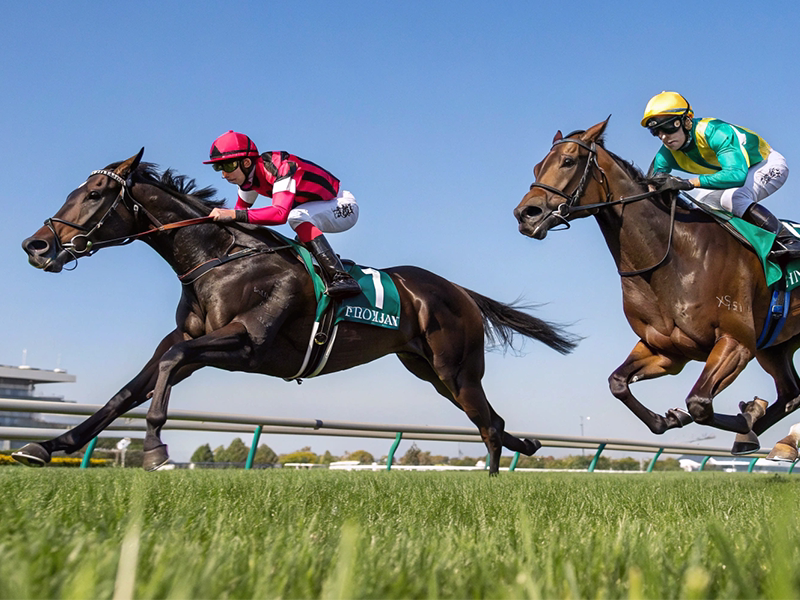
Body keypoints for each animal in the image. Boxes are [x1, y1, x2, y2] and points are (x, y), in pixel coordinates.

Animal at [17, 149, 577, 474]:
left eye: (94, 194)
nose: (36, 245)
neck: (219, 259)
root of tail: (458, 290)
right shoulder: (187, 340)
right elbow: (129, 390)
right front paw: (48, 444)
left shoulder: (249, 344)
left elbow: (167, 370)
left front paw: (155, 448)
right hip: (429, 371)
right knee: (492, 420)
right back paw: (528, 444)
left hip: (456, 369)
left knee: (487, 423)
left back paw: (493, 481)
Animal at [513, 117, 800, 455]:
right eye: (536, 167)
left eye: (568, 161)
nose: (525, 215)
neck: (673, 257)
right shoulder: (665, 349)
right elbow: (618, 383)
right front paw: (674, 419)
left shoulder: (736, 341)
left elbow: (699, 403)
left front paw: (747, 415)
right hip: (776, 347)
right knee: (791, 394)